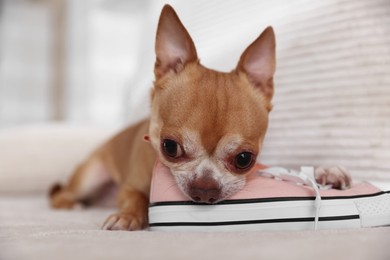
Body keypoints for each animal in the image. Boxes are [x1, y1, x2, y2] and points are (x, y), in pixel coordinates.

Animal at [49, 5, 354, 231]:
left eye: (245, 159)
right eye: (169, 147)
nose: (205, 189)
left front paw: (326, 172)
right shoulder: (130, 187)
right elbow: (135, 197)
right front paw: (129, 215)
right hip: (90, 175)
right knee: (60, 195)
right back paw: (73, 204)